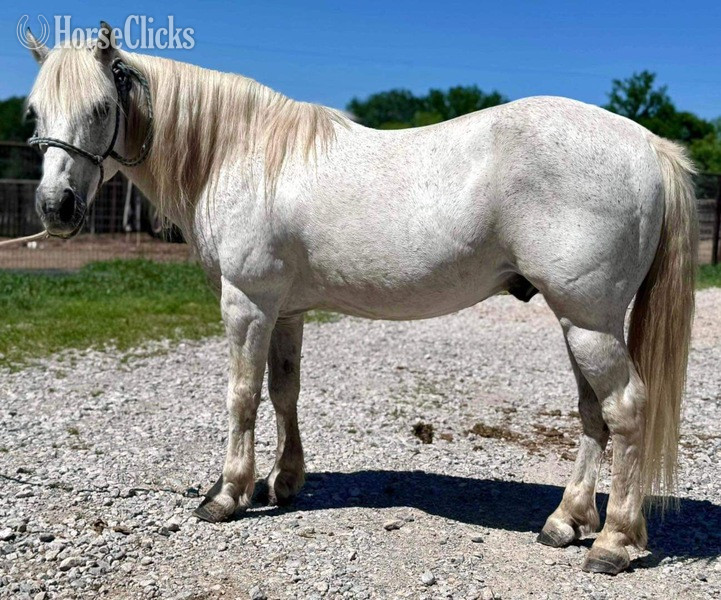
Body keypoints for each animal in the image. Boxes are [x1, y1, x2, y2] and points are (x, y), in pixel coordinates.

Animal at [23, 23, 697, 575]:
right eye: (34, 112)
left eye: (101, 107)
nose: (57, 209)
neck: (240, 153)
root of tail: (646, 145)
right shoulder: (286, 311)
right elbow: (284, 393)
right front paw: (284, 482)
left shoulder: (246, 305)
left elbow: (242, 398)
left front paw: (227, 494)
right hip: (580, 321)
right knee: (592, 415)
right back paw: (566, 522)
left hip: (590, 322)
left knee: (625, 411)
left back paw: (612, 542)